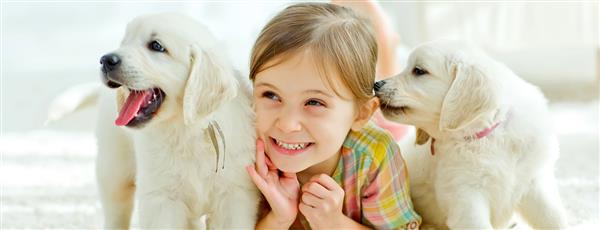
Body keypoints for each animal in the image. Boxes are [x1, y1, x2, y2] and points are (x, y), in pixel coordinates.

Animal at [51, 13, 258, 228]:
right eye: (124, 42)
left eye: (156, 46)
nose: (105, 60)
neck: (186, 130)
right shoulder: (161, 200)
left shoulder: (234, 196)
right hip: (113, 171)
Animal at [376, 40, 568, 229]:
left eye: (419, 71)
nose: (376, 84)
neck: (487, 136)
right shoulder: (465, 196)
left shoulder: (535, 184)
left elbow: (554, 219)